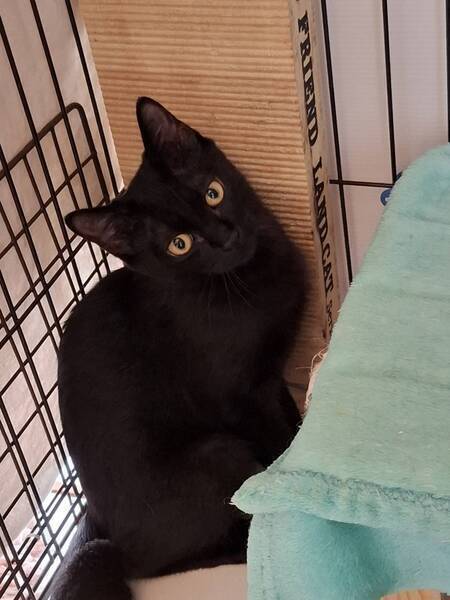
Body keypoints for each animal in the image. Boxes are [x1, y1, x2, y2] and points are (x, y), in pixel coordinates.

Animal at [51, 97, 305, 599]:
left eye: (213, 193)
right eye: (179, 245)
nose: (225, 237)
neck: (245, 281)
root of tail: (103, 531)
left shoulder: (271, 378)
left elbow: (292, 420)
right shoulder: (242, 397)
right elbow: (277, 440)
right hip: (219, 453)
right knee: (166, 563)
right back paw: (244, 546)